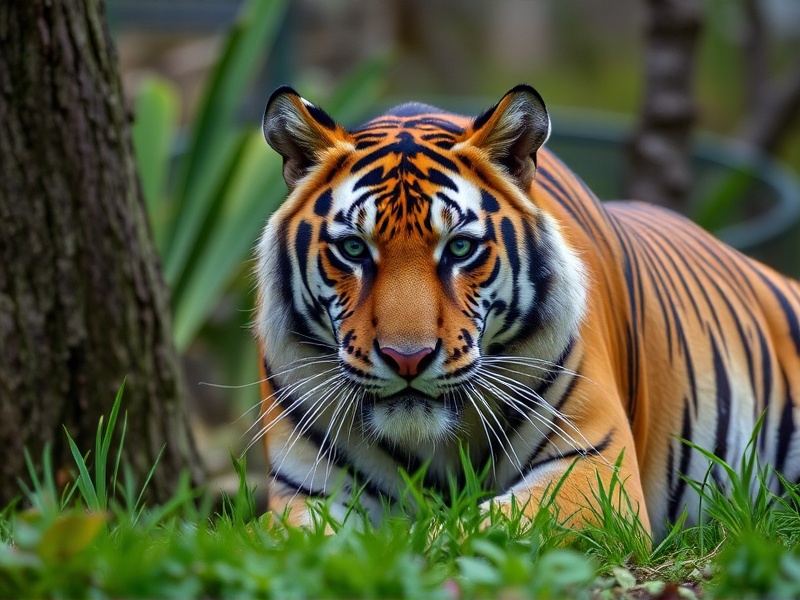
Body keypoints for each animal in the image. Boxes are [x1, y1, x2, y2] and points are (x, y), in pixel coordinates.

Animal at [253, 84, 800, 541]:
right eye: (353, 248)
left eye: (459, 248)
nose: (407, 359)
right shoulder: (306, 491)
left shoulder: (595, 467)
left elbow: (471, 529)